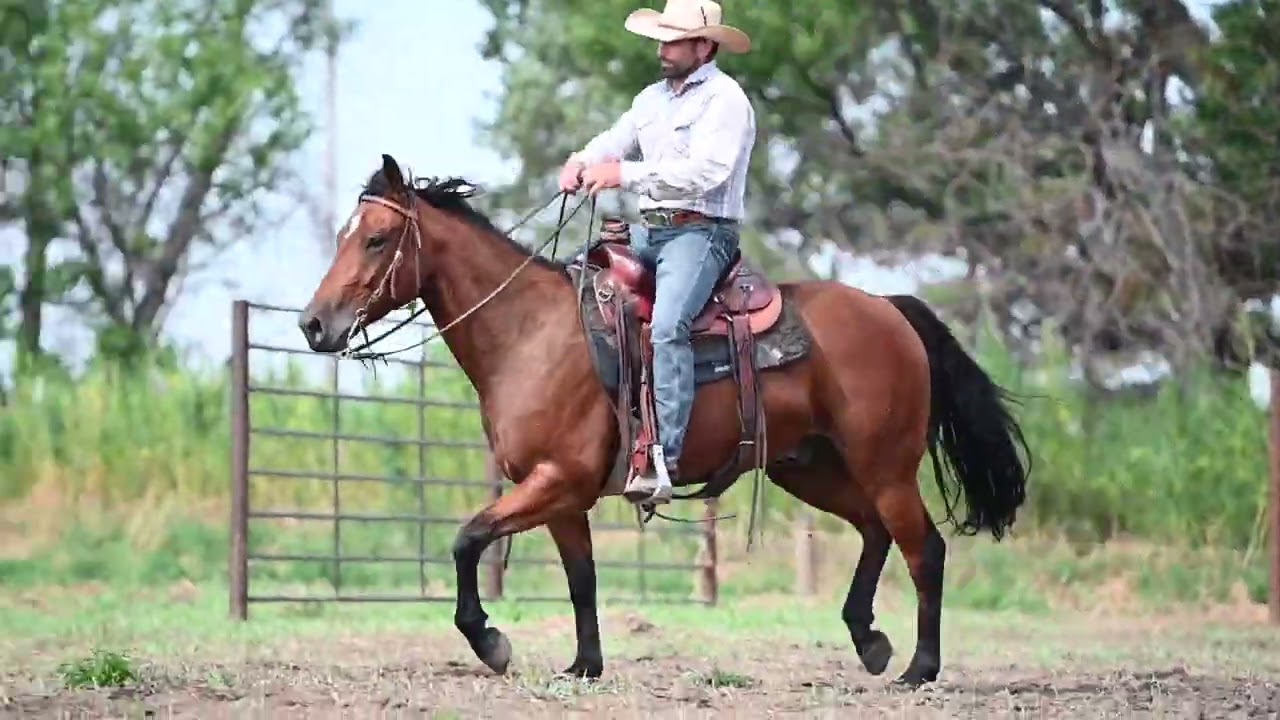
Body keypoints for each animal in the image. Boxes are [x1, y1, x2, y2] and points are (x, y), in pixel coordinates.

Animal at [297, 153, 1031, 688]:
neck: (530, 332)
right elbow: (581, 578)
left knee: (924, 548)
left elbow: (467, 539)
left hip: (885, 467)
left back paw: (918, 669)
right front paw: (584, 666)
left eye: (377, 238)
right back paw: (870, 641)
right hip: (810, 467)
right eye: (342, 236)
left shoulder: (556, 479)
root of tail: (890, 309)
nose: (313, 324)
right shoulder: (561, 495)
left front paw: (491, 642)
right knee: (877, 532)